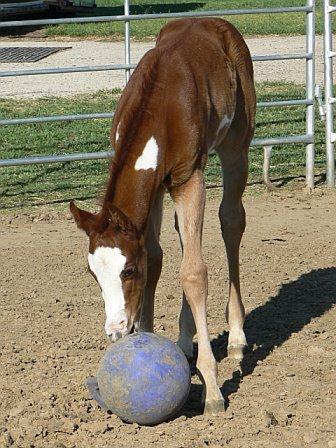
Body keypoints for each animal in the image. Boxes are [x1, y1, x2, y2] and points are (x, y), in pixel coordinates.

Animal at [70, 18, 255, 416]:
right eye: (93, 275)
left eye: (127, 271)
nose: (116, 329)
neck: (160, 106)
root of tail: (219, 24)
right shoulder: (154, 188)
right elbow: (156, 257)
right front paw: (151, 337)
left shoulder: (189, 178)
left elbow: (194, 273)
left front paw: (212, 388)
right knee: (185, 238)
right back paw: (185, 341)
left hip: (236, 145)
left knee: (231, 221)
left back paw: (236, 336)